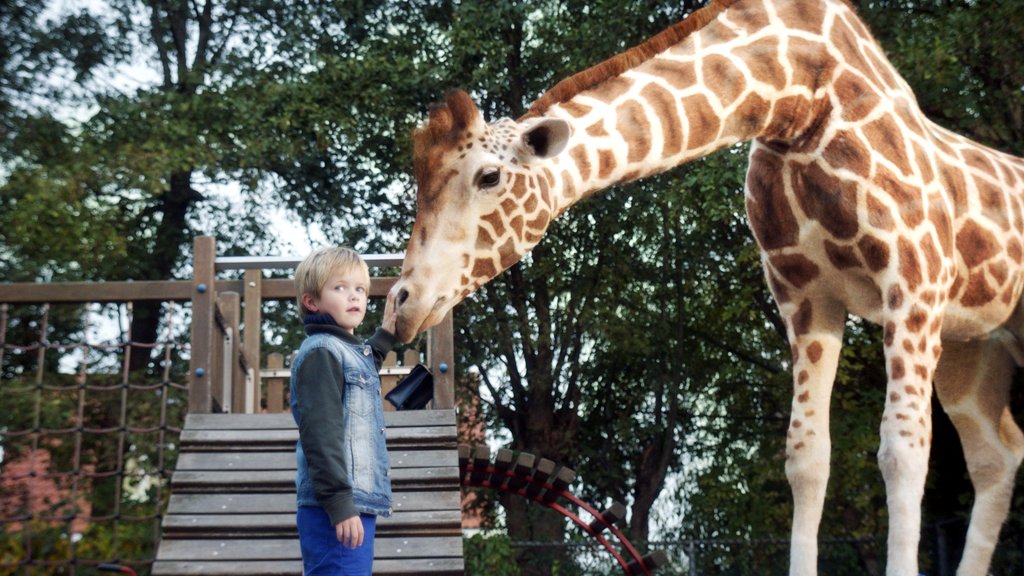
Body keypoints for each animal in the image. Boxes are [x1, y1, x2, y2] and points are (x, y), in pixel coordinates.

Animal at [390, 0, 1024, 573]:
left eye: (489, 177)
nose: (402, 304)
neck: (797, 103)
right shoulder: (805, 296)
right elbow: (806, 457)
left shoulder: (914, 281)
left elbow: (902, 451)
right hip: (972, 350)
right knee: (997, 456)